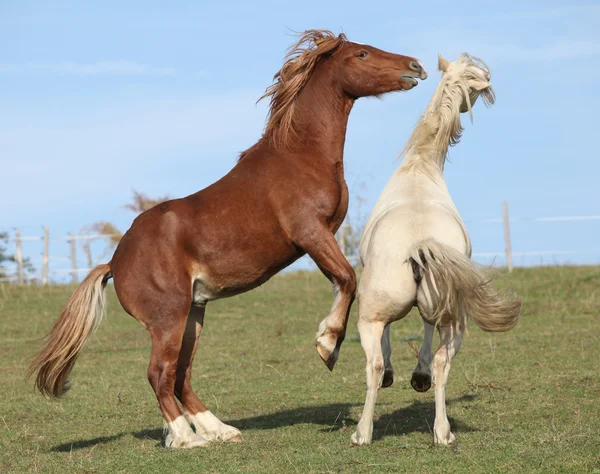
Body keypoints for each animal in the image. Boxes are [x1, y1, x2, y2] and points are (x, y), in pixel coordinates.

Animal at [28, 30, 426, 448]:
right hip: (168, 319)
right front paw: (327, 345)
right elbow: (347, 279)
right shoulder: (311, 233)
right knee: (160, 373)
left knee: (181, 375)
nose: (415, 66)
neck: (300, 156)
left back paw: (219, 430)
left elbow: (349, 280)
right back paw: (185, 438)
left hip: (193, 315)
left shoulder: (321, 236)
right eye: (362, 54)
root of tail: (114, 262)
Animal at [352, 53, 520, 446]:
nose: (489, 92)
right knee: (444, 361)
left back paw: (363, 431)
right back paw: (442, 431)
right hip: (454, 321)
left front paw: (410, 375)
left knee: (374, 364)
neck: (419, 168)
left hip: (369, 317)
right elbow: (427, 334)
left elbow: (392, 342)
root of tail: (420, 245)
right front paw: (420, 377)